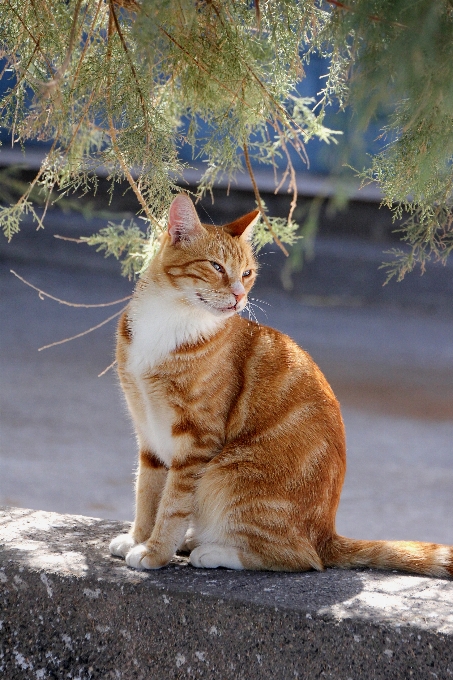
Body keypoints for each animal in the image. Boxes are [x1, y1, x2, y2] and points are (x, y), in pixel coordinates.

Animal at [109, 194, 452, 576]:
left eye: (246, 273)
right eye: (216, 267)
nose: (239, 296)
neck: (171, 319)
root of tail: (326, 534)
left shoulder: (196, 440)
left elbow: (172, 505)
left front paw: (154, 552)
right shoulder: (148, 432)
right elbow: (147, 491)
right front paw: (139, 537)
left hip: (227, 473)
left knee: (300, 557)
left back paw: (213, 551)